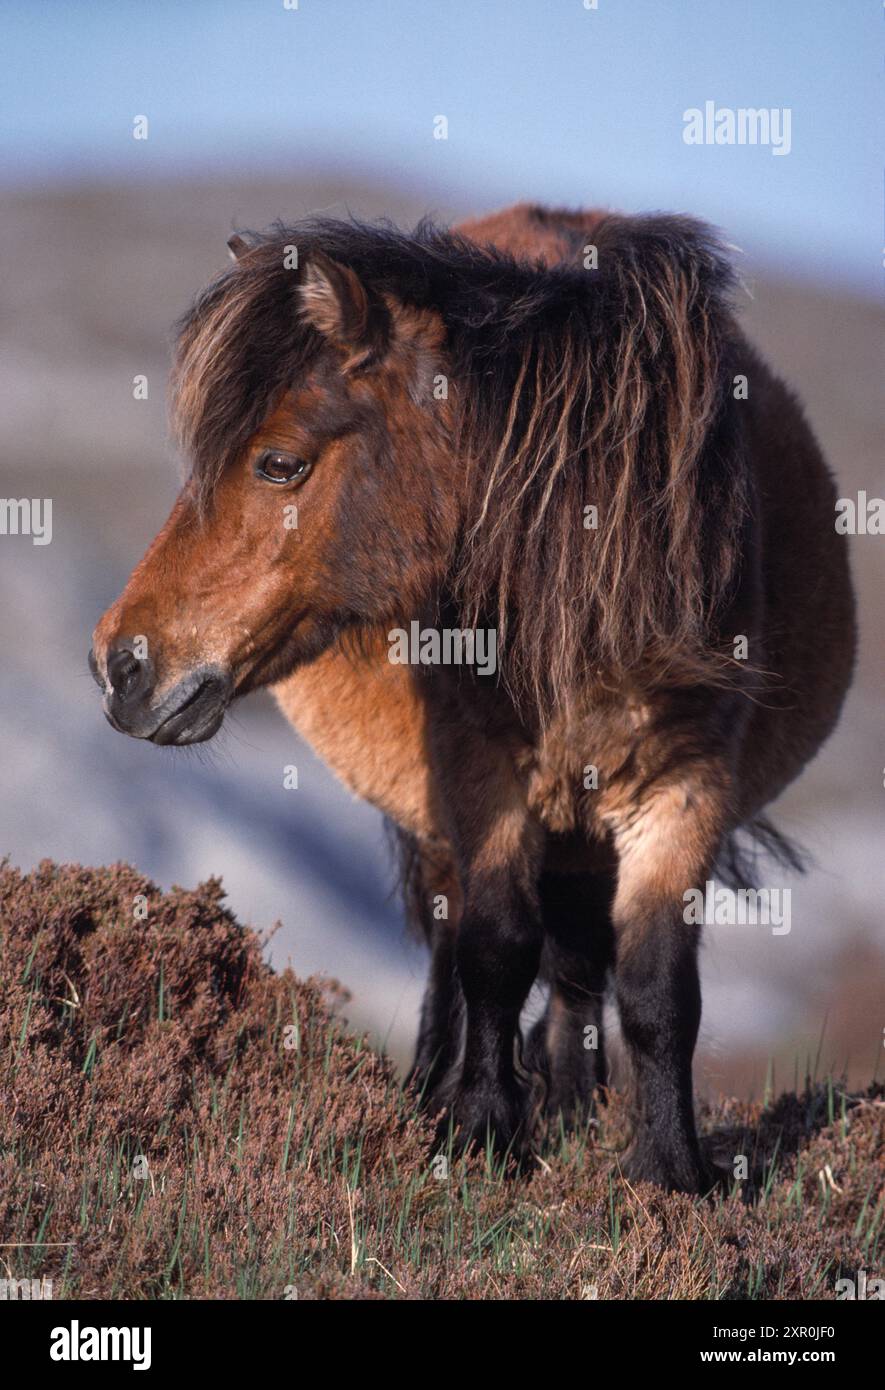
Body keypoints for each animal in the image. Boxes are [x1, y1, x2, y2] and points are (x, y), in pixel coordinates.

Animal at [90, 202, 855, 1193]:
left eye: (280, 464)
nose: (120, 665)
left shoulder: (687, 786)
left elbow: (655, 984)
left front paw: (667, 1175)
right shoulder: (477, 774)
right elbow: (493, 951)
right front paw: (482, 1134)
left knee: (578, 963)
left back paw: (568, 1099)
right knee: (455, 953)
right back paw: (435, 1092)